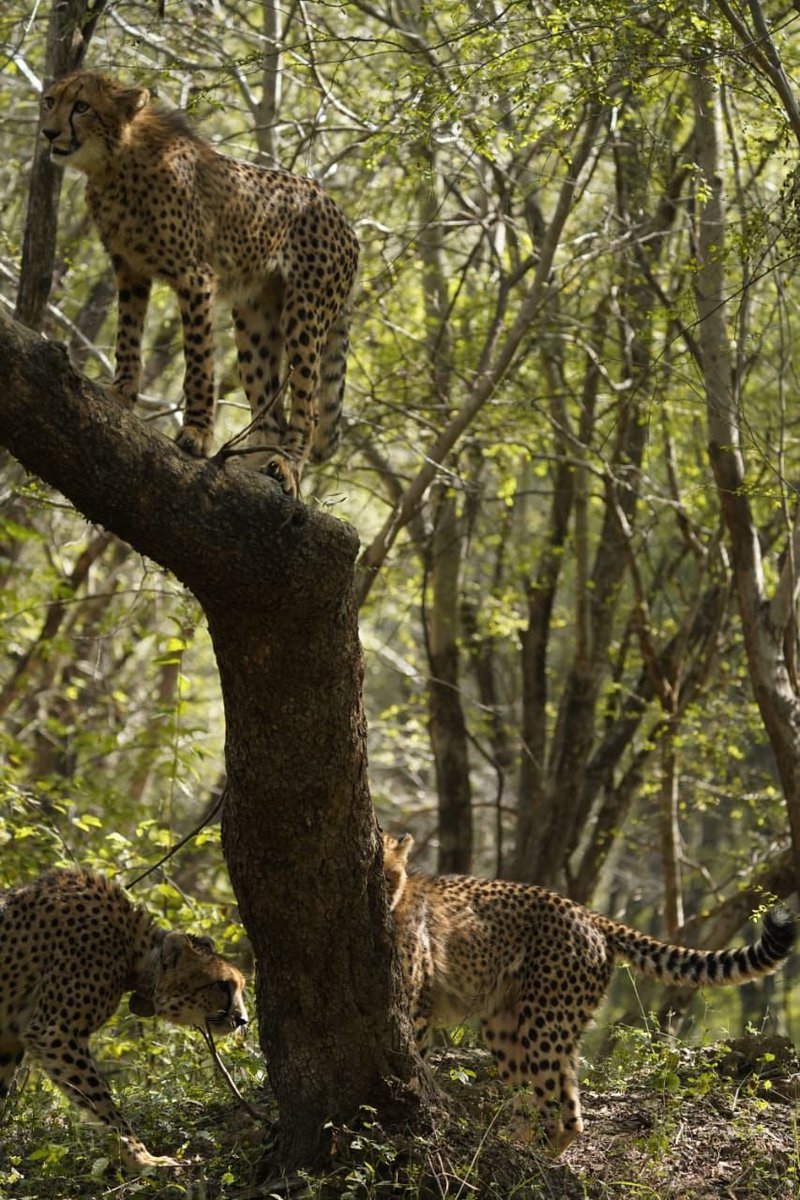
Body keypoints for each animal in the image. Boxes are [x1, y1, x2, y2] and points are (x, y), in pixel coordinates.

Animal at [0, 867, 247, 1169]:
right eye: (223, 985)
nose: (243, 1020)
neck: (134, 949)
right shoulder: (55, 1032)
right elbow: (104, 1105)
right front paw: (143, 1159)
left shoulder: (10, 1039)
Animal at [40, 71, 360, 498]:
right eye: (49, 101)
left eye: (81, 106)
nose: (48, 132)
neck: (114, 163)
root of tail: (341, 215)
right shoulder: (130, 269)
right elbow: (127, 338)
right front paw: (120, 394)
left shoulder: (195, 277)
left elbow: (198, 362)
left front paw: (196, 434)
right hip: (255, 322)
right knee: (270, 412)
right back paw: (253, 466)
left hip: (304, 314)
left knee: (306, 407)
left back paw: (287, 465)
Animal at [382, 832, 795, 1155]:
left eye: (387, 875)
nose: (383, 897)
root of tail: (588, 913)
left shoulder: (417, 1011)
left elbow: (416, 1061)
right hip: (508, 1024)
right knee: (555, 1104)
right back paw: (518, 1151)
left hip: (544, 1021)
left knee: (557, 1109)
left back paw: (530, 1164)